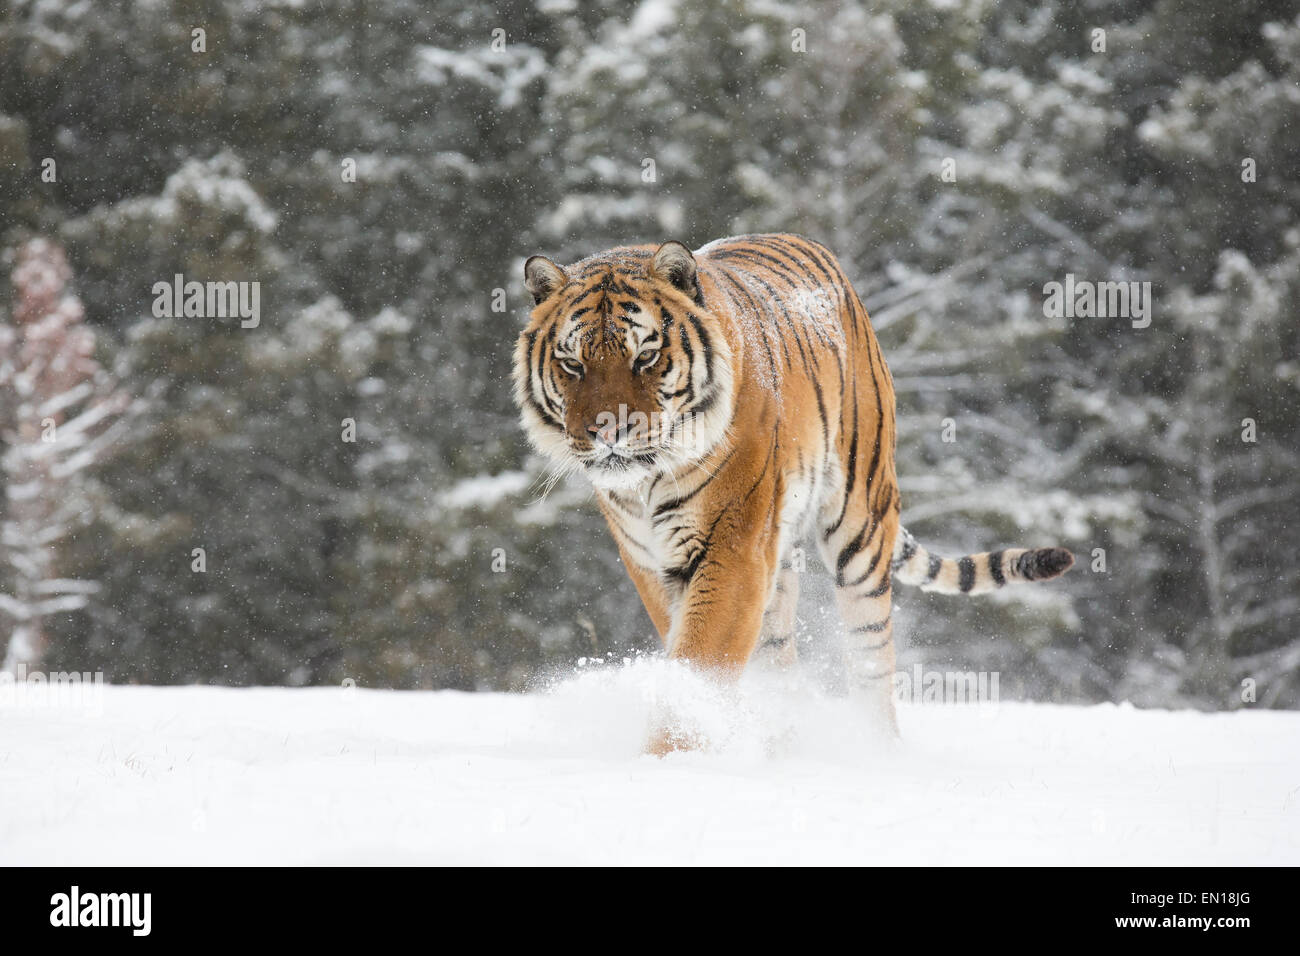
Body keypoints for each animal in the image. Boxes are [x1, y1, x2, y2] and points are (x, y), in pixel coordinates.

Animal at [512, 234, 1071, 754]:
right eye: (573, 364)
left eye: (645, 357)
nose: (609, 431)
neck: (647, 480)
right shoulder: (651, 559)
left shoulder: (732, 547)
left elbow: (698, 661)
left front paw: (667, 758)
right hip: (778, 562)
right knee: (778, 656)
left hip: (860, 525)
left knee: (872, 657)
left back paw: (875, 750)